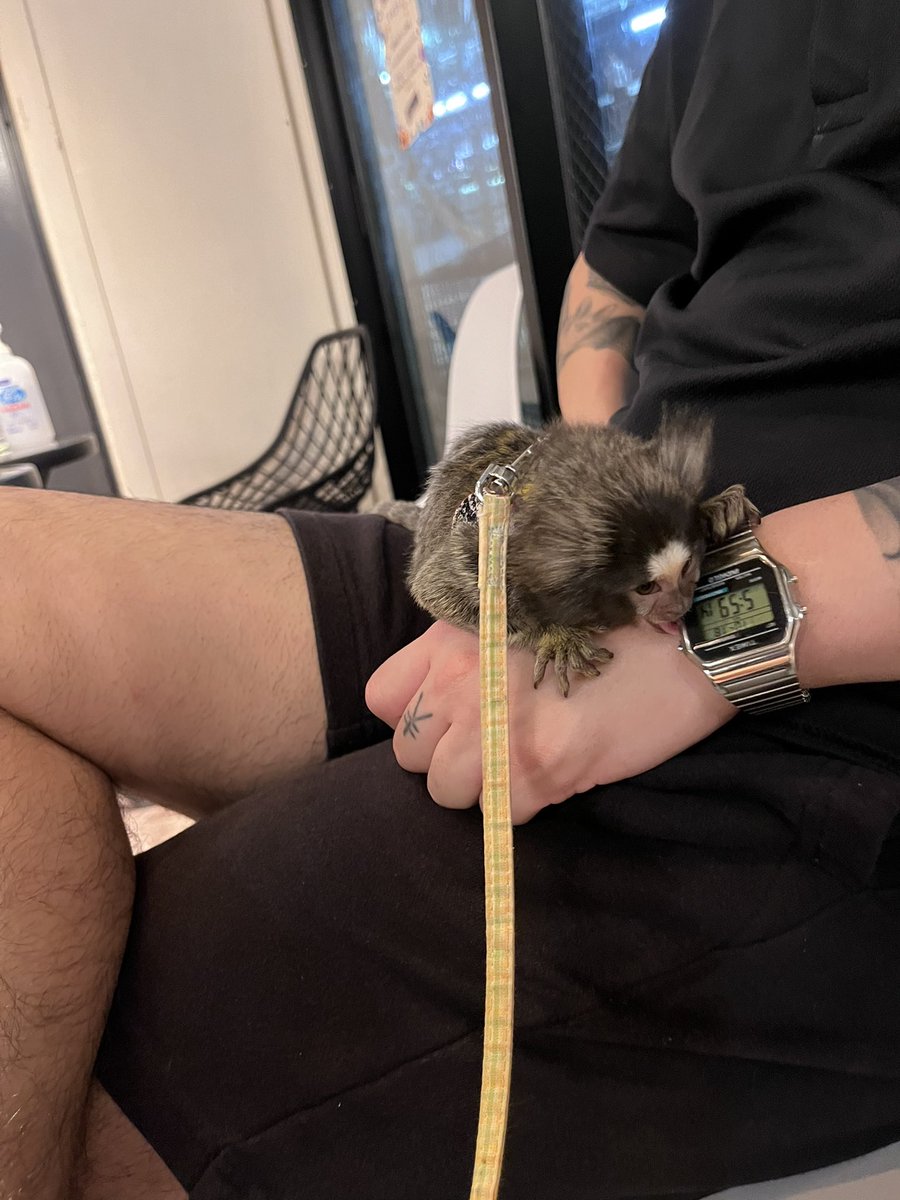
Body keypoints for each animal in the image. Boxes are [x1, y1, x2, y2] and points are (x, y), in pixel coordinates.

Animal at [384, 410, 759, 696]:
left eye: (686, 569)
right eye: (646, 587)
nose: (678, 606)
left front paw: (713, 510)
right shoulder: (483, 553)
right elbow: (436, 591)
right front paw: (555, 634)